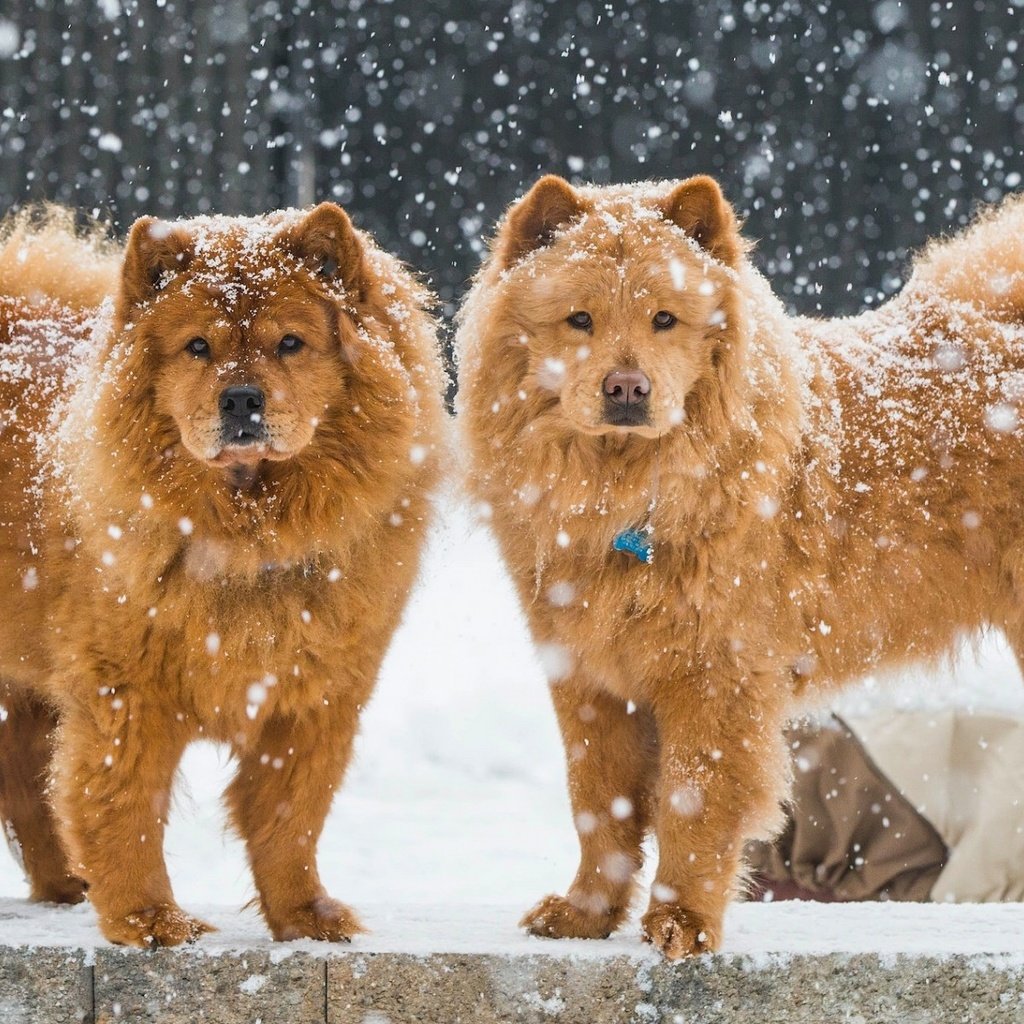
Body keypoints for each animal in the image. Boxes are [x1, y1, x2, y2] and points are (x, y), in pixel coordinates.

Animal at [1, 203, 448, 946]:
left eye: (291, 343)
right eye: (197, 347)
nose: (241, 399)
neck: (246, 533)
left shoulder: (317, 696)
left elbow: (290, 817)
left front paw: (305, 915)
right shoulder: (126, 693)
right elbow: (123, 805)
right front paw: (149, 919)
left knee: (28, 791)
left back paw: (66, 887)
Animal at [458, 178, 1024, 958]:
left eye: (665, 319)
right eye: (580, 320)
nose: (626, 387)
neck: (626, 494)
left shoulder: (715, 674)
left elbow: (693, 804)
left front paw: (682, 925)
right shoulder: (588, 676)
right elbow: (600, 807)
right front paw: (584, 915)